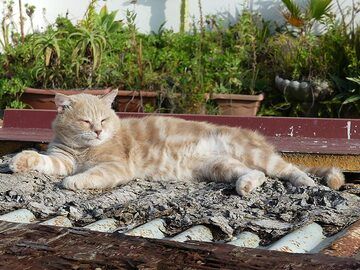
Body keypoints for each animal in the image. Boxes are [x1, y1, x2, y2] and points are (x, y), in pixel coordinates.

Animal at [9, 90, 344, 194]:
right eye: (85, 122)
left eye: (103, 120)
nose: (99, 132)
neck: (83, 150)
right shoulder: (62, 158)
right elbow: (43, 160)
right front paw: (20, 160)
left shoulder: (115, 167)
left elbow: (88, 175)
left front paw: (73, 182)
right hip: (221, 167)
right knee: (256, 175)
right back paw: (245, 186)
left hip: (254, 154)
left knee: (287, 169)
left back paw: (308, 182)